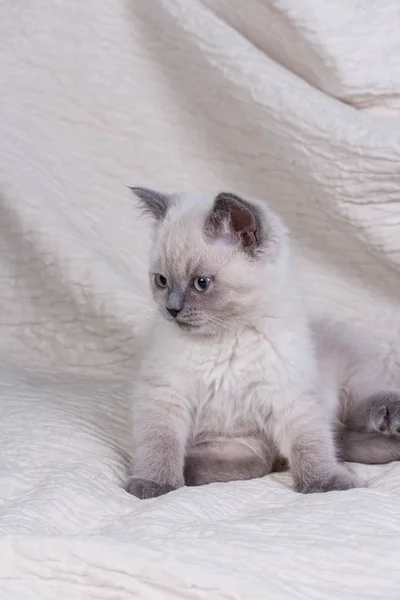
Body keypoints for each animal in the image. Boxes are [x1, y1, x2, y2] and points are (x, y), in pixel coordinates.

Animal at [127, 190, 400, 500]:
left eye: (201, 283)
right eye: (161, 281)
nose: (171, 310)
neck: (226, 337)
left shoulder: (290, 397)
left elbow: (310, 445)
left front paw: (326, 483)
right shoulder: (168, 396)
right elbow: (161, 443)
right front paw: (155, 484)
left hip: (352, 380)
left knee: (361, 406)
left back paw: (389, 416)